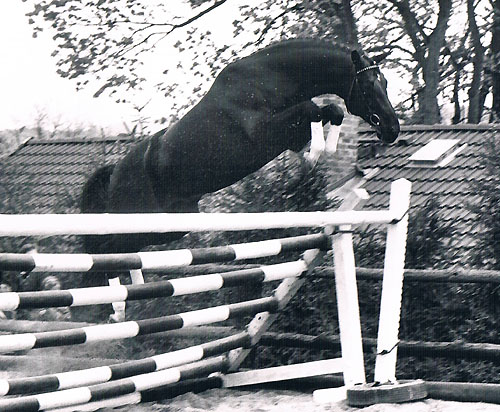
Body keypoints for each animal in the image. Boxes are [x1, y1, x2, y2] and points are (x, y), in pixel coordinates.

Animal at [82, 38, 400, 318]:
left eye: (385, 83)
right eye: (369, 86)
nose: (392, 130)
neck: (270, 79)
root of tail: (116, 171)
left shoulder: (289, 133)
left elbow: (331, 112)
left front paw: (318, 155)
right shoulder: (267, 131)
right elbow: (314, 110)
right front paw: (312, 159)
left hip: (173, 223)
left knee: (124, 250)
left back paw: (132, 295)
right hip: (143, 217)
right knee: (109, 249)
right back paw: (116, 308)